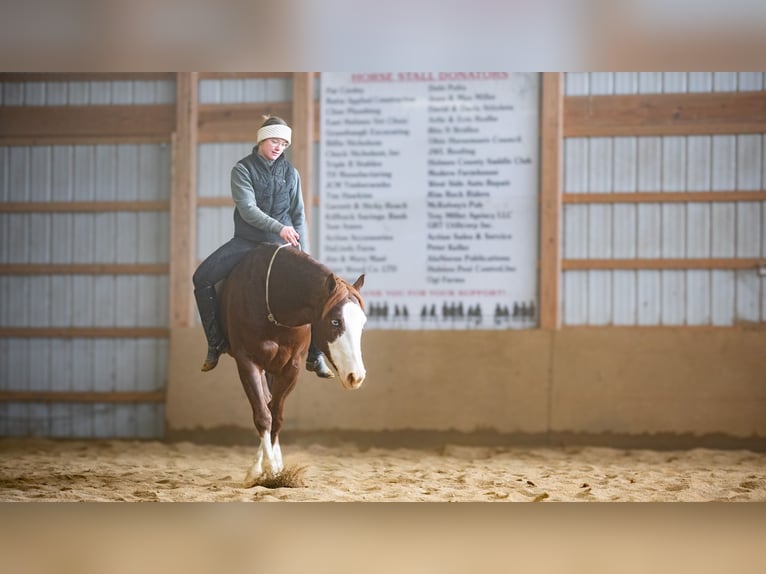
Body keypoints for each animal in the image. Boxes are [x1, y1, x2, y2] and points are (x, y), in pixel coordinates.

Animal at [219, 243, 368, 486]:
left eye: (362, 323)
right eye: (335, 321)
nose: (356, 376)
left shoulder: (291, 368)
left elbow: (276, 417)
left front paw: (274, 467)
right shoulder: (247, 362)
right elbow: (263, 415)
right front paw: (268, 470)